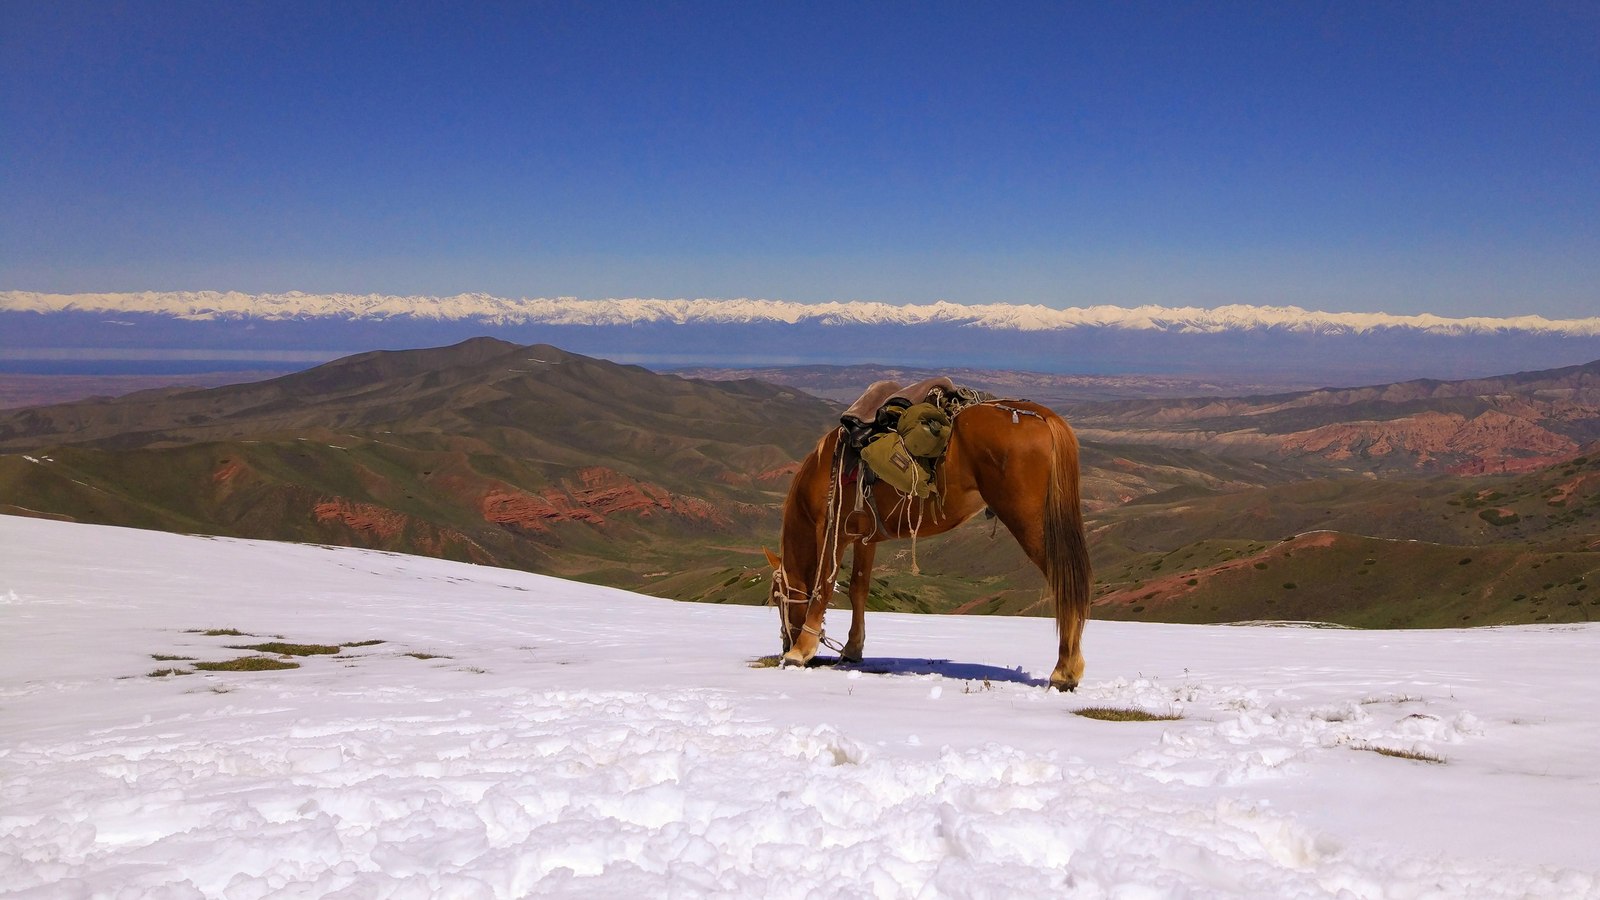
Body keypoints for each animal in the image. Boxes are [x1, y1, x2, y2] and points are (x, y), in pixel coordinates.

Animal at [764, 395, 1094, 688]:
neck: (824, 469)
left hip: (1030, 523)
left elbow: (823, 586)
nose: (785, 643)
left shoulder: (831, 532)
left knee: (1064, 582)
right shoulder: (865, 538)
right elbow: (858, 589)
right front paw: (852, 649)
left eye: (777, 598)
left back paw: (1064, 672)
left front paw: (801, 651)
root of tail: (1042, 416)